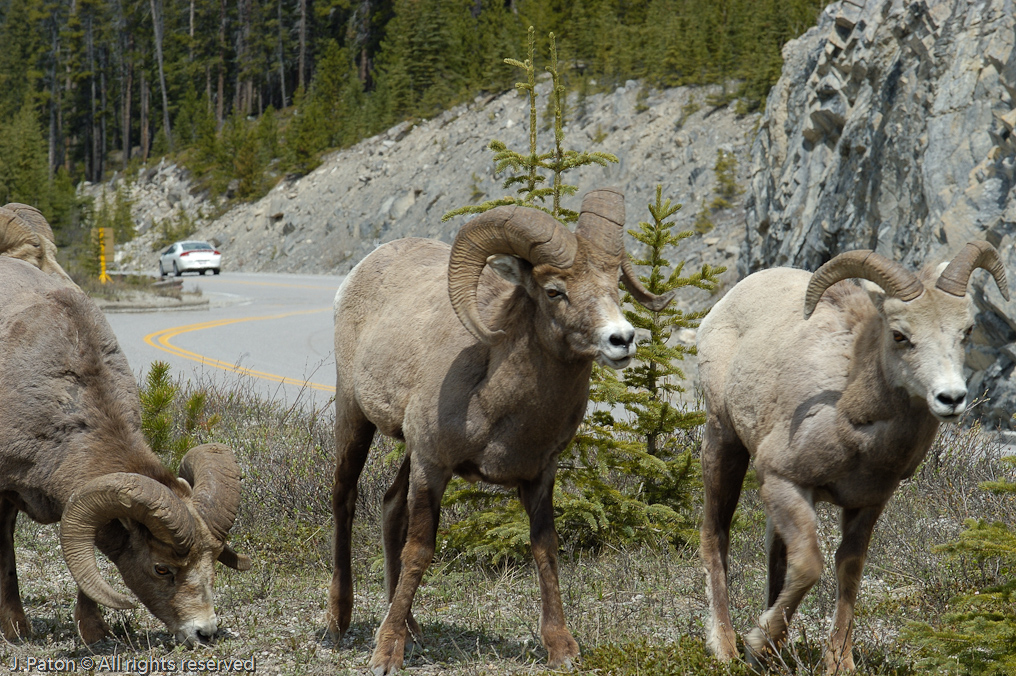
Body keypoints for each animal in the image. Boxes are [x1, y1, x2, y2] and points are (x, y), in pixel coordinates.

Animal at [333, 187, 674, 670]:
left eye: (614, 288)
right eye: (554, 291)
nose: (622, 340)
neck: (495, 400)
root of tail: (361, 270)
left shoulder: (539, 475)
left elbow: (545, 548)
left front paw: (561, 648)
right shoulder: (433, 466)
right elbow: (420, 550)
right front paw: (385, 656)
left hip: (408, 452)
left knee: (390, 506)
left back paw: (412, 628)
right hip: (354, 415)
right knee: (344, 497)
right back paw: (338, 621)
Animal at [699, 240, 1007, 670]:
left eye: (966, 331)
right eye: (899, 335)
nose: (951, 398)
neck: (853, 423)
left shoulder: (868, 503)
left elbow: (848, 569)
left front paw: (838, 662)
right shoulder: (783, 480)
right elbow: (810, 565)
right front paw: (756, 641)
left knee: (776, 553)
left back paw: (774, 655)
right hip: (723, 441)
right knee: (716, 534)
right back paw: (727, 649)